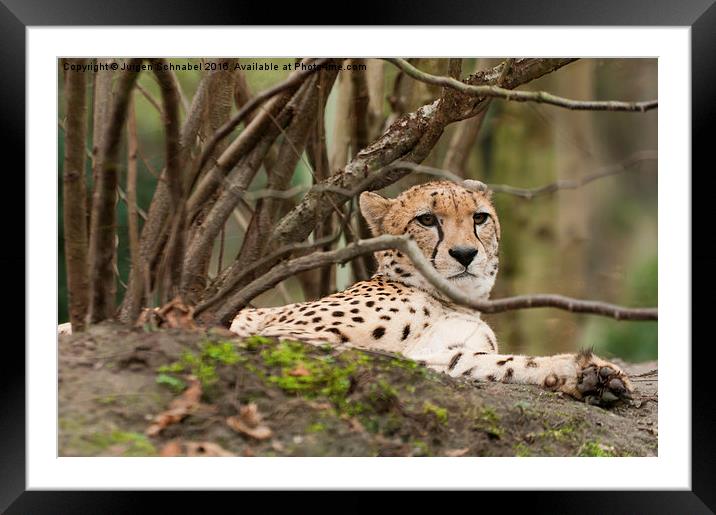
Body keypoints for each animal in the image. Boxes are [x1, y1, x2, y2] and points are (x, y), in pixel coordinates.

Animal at [234, 179, 632, 406]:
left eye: (479, 218)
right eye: (426, 219)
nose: (465, 253)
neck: (445, 300)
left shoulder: (457, 352)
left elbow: (491, 364)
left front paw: (588, 375)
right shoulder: (285, 337)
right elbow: (384, 357)